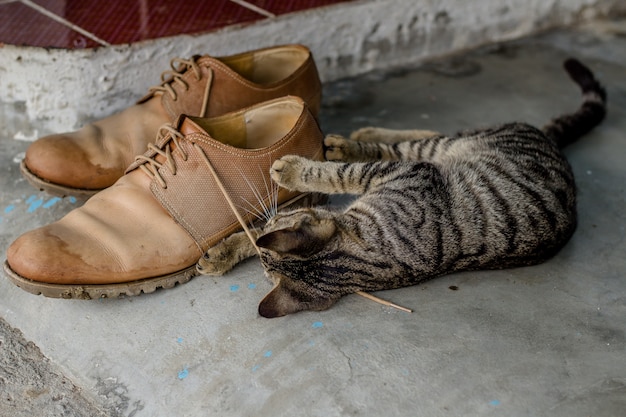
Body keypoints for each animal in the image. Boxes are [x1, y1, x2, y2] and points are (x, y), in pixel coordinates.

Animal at [196, 58, 604, 316]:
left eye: (278, 220)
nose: (270, 219)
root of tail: (553, 145)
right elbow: (253, 238)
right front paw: (225, 251)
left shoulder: (411, 174)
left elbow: (343, 174)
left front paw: (294, 170)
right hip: (445, 149)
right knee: (430, 134)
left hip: (440, 152)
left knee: (419, 141)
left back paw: (351, 141)